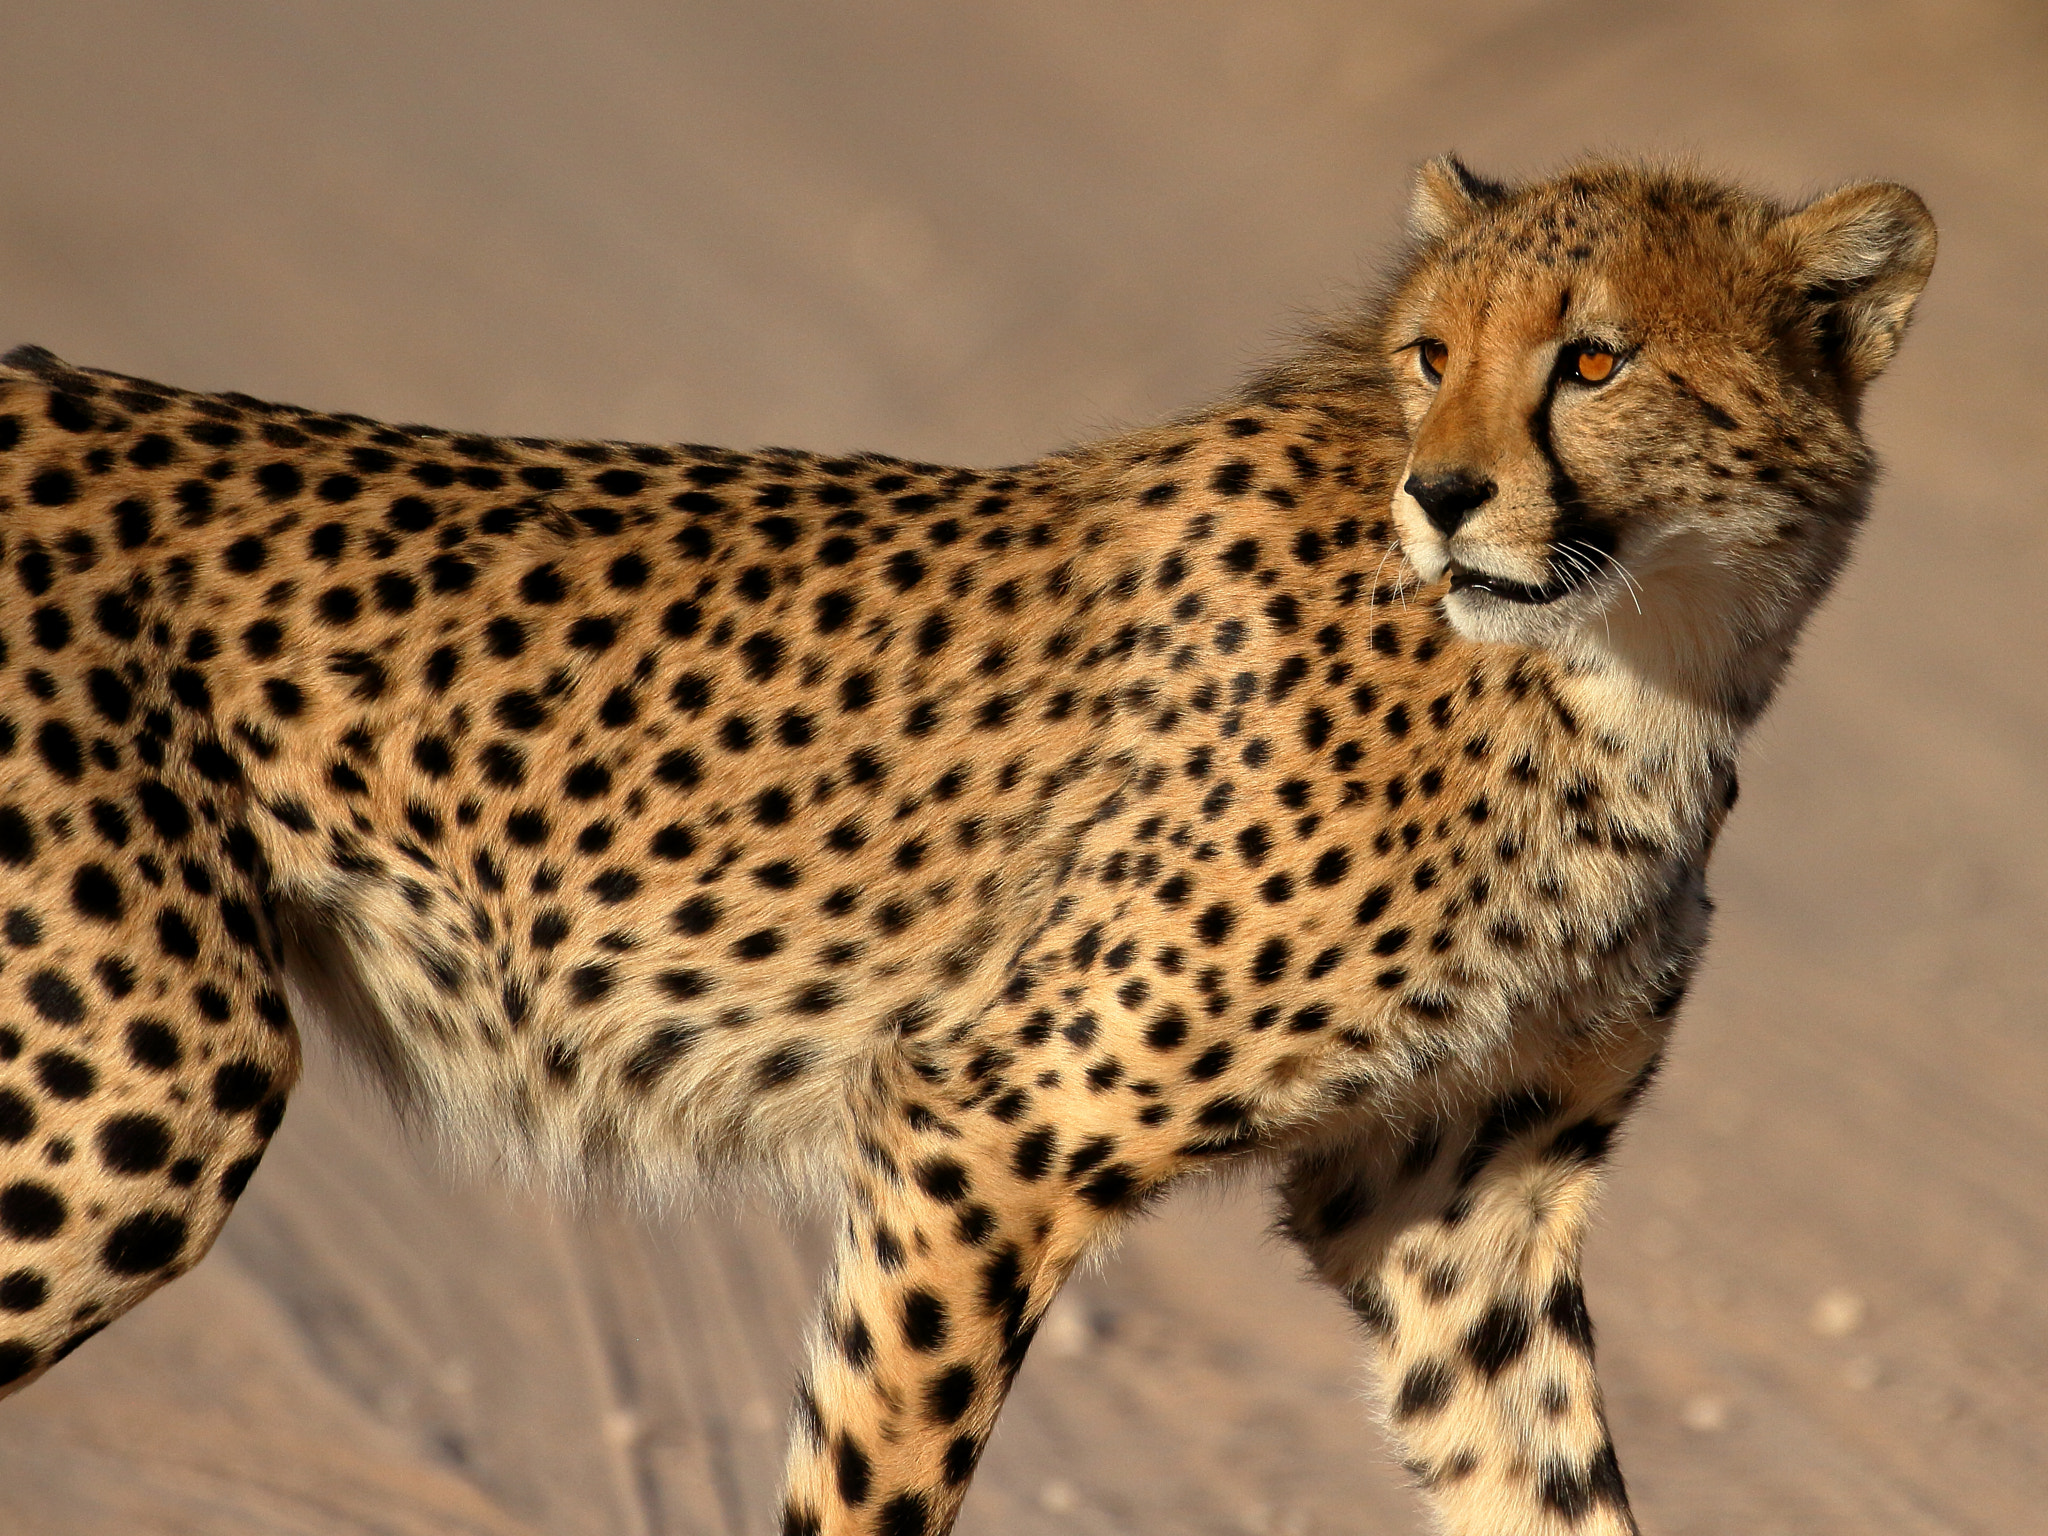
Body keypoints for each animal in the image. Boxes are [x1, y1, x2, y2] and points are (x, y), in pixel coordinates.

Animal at [0, 155, 1933, 1535]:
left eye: (1592, 359)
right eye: (1429, 358)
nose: (1440, 492)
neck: (1637, 665)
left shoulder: (1455, 1204)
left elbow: (1549, 1488)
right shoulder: (982, 1124)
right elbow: (874, 1477)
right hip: (147, 1090)